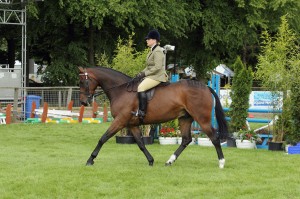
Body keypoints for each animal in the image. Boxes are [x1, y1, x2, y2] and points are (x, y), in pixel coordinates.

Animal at [78, 66, 229, 168]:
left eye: (83, 82)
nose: (83, 102)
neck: (120, 90)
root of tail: (205, 87)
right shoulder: (132, 124)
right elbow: (140, 143)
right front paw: (151, 160)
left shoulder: (120, 121)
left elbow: (103, 138)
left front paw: (90, 159)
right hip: (185, 118)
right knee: (186, 139)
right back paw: (169, 161)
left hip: (202, 119)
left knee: (214, 137)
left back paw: (221, 163)